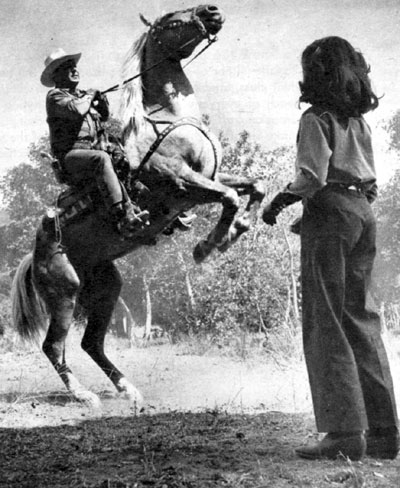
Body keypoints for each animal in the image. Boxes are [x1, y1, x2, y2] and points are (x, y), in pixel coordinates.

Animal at [10, 3, 264, 408]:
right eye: (171, 20)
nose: (212, 11)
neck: (169, 118)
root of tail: (34, 254)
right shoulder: (179, 182)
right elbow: (230, 197)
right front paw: (207, 245)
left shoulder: (211, 175)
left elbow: (254, 186)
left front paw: (237, 230)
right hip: (64, 293)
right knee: (54, 346)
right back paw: (83, 395)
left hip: (105, 287)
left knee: (91, 342)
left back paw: (128, 388)